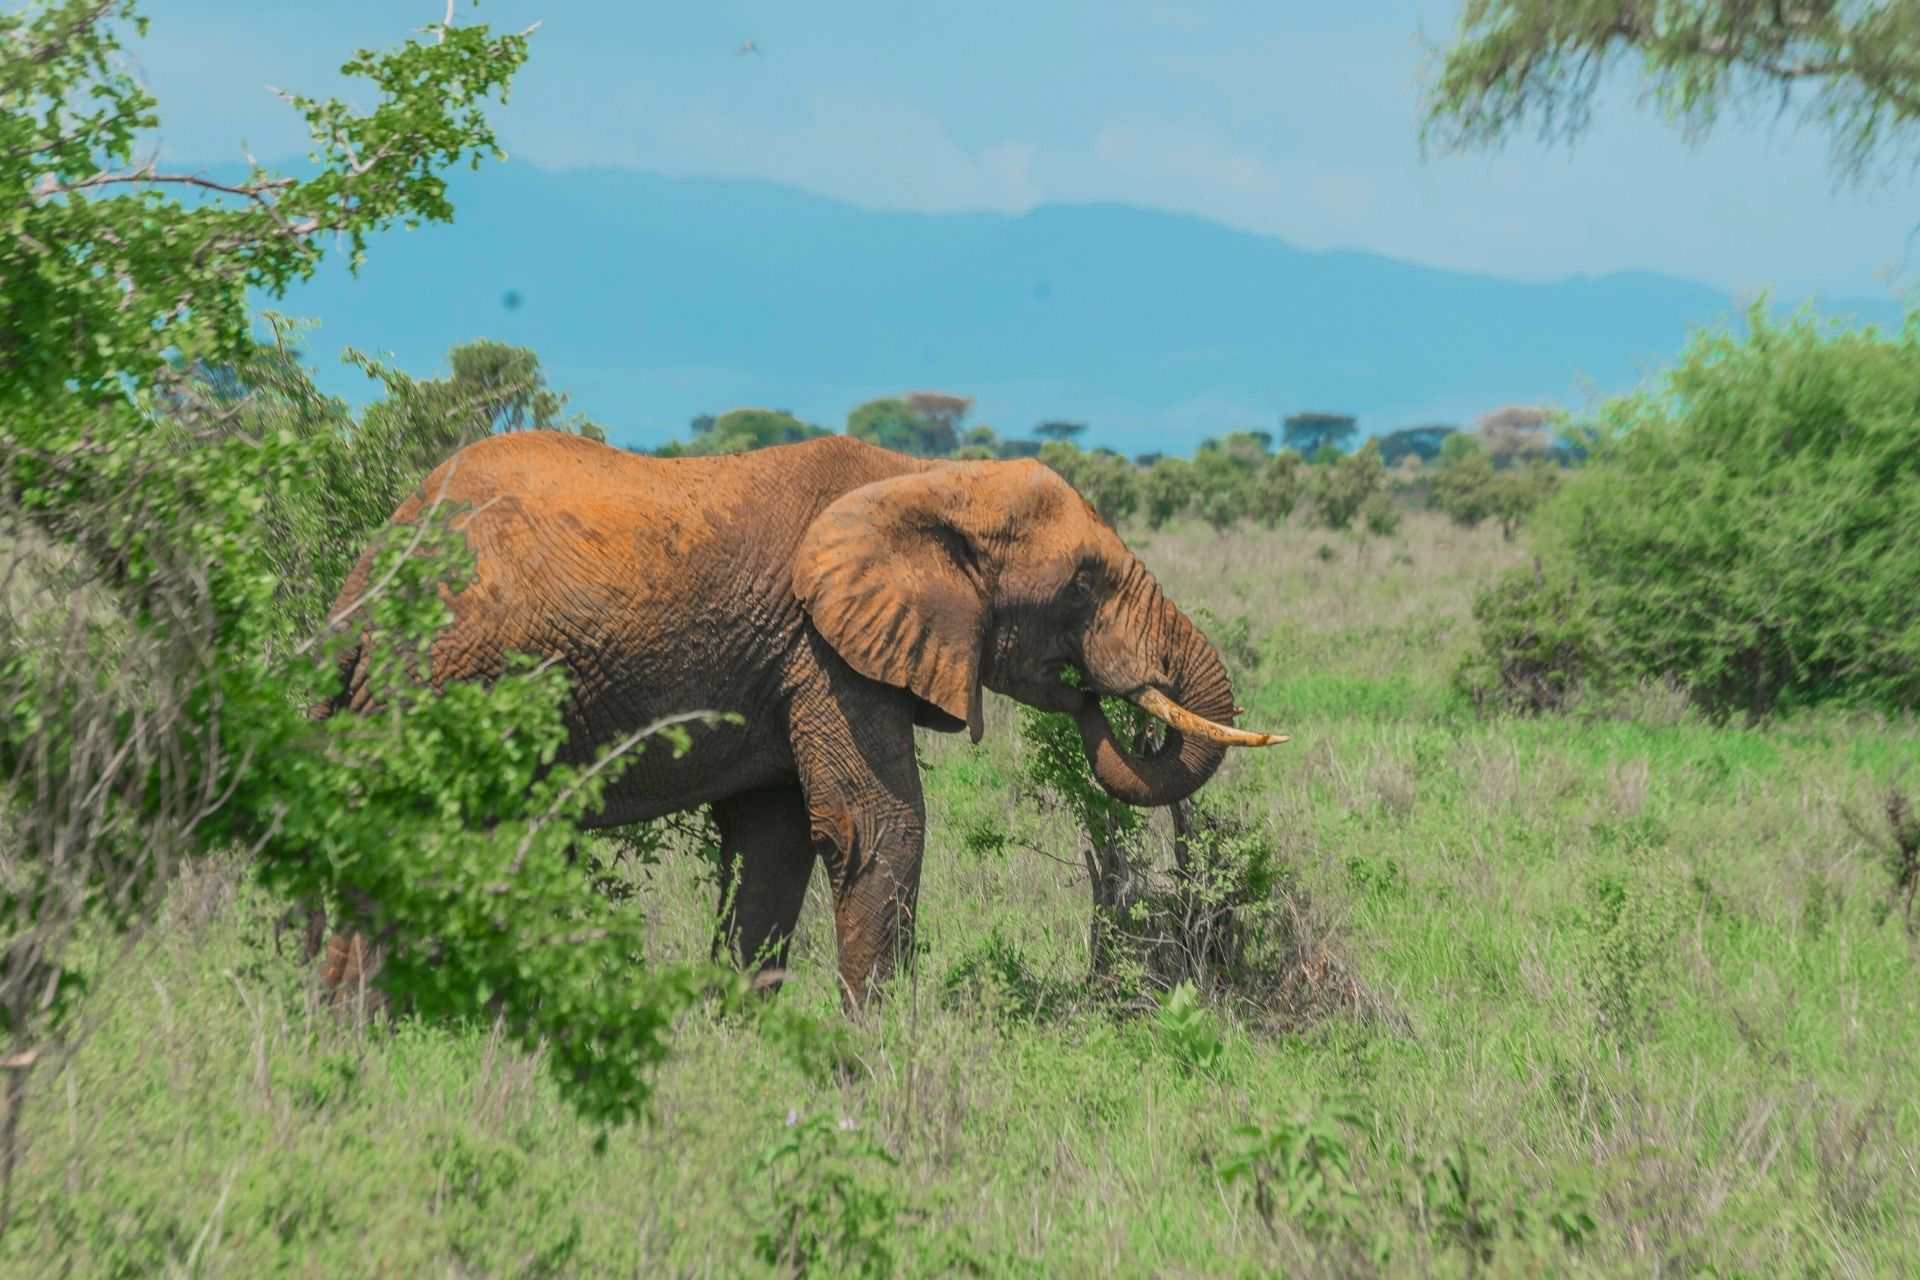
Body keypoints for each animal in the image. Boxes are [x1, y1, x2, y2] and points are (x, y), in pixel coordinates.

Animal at [310, 430, 1285, 1008]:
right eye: (1083, 582)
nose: (1096, 696)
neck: (924, 479)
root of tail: (366, 573)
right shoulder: (825, 650)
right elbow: (876, 823)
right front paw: (873, 1044)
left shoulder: (791, 665)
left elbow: (770, 843)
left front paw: (742, 1033)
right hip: (441, 676)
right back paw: (358, 1029)